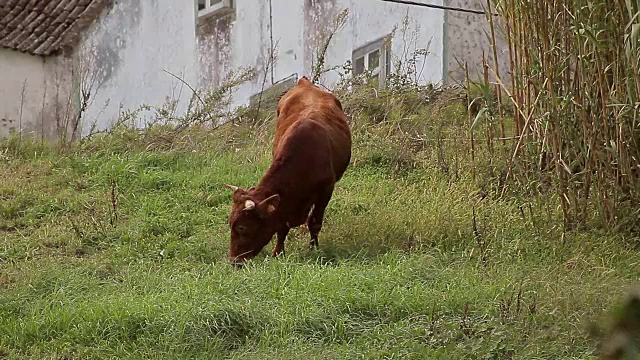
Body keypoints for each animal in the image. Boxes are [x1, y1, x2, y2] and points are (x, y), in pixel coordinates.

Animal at [225, 76, 352, 266]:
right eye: (230, 223)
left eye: (242, 226)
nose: (234, 261)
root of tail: (304, 83)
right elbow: (282, 228)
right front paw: (278, 252)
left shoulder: (326, 190)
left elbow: (315, 221)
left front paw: (314, 249)